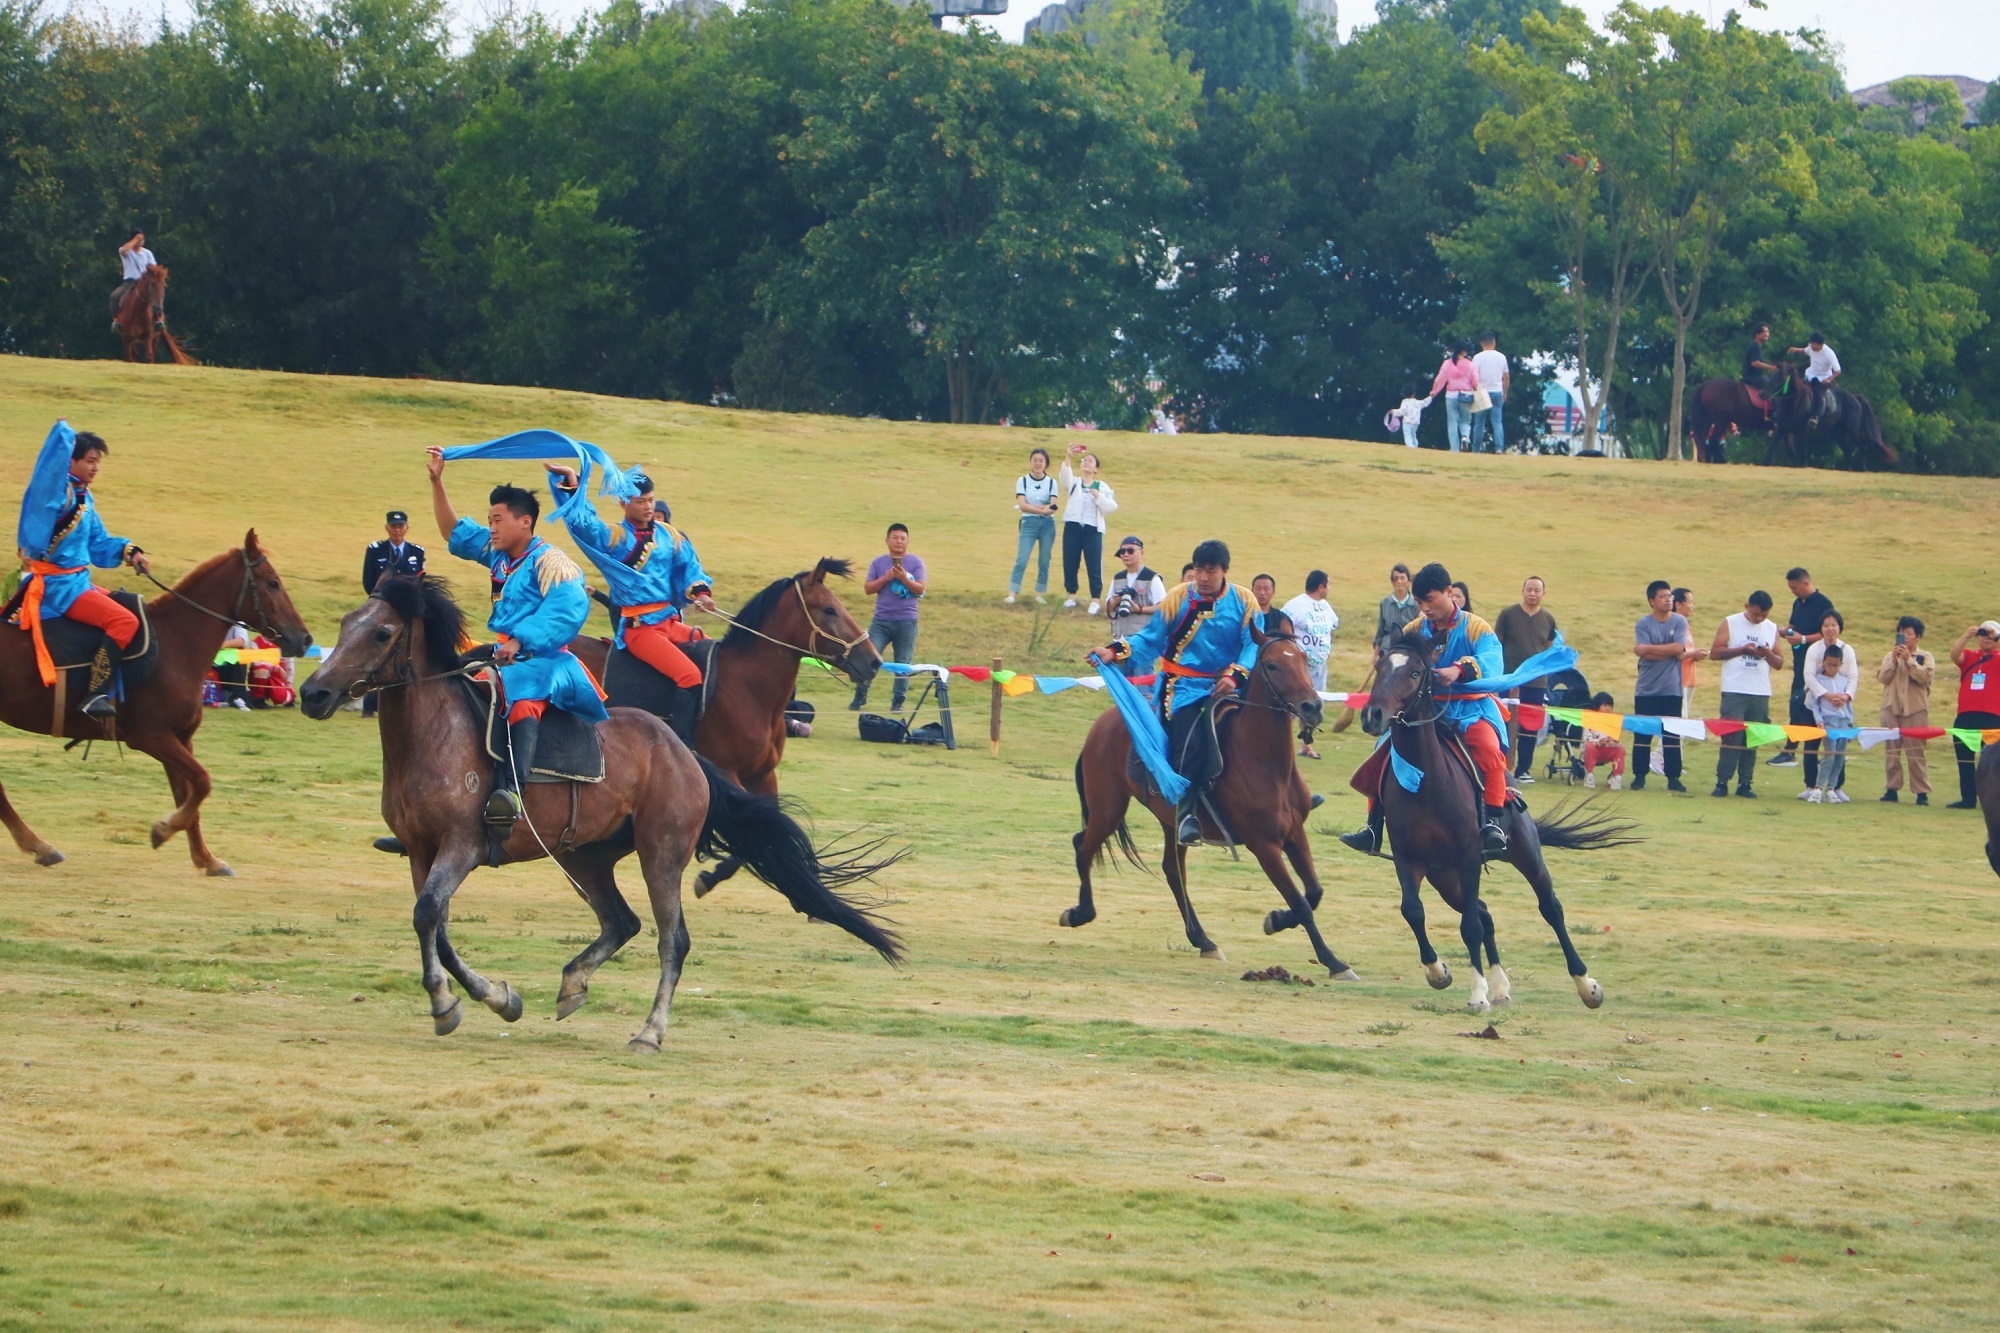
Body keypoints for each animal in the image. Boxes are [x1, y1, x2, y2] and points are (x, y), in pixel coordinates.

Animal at [0, 528, 314, 872]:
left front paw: (206, 859)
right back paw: (37, 844)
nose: (304, 639)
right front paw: (164, 829)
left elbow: (189, 795)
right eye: (272, 583)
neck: (176, 641)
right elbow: (202, 781)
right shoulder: (152, 737)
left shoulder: (180, 738)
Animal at [564, 548, 876, 892]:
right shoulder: (727, 771)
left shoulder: (762, 775)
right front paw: (708, 875)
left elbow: (763, 828)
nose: (874, 661)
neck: (745, 684)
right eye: (830, 609)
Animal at [1048, 612, 1360, 976]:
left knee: (1172, 870)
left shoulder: (1295, 834)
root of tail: (1102, 726)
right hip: (1108, 807)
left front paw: (1279, 921)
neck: (1265, 762)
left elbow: (1313, 893)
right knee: (1083, 846)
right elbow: (1300, 902)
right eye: (1272, 665)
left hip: (1170, 819)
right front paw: (1332, 960)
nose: (1312, 706)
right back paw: (1079, 913)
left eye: (1302, 661)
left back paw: (1204, 940)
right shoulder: (1264, 845)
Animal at [1344, 632, 1640, 1008]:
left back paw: (1585, 985)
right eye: (1380, 667)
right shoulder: (1407, 857)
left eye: (1414, 673)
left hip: (1524, 855)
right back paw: (1500, 986)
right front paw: (1438, 972)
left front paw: (1477, 994)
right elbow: (1413, 911)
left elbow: (1469, 927)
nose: (1373, 715)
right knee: (1484, 913)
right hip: (1445, 877)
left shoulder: (1469, 856)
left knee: (1549, 908)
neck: (1427, 781)